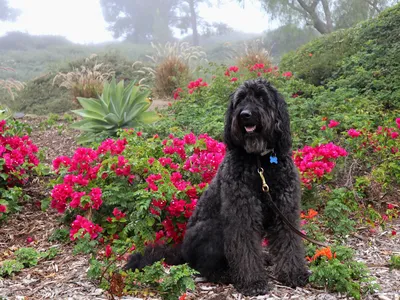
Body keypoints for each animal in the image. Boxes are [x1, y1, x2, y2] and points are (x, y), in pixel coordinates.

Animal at [125, 77, 310, 296]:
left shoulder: (285, 209)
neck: (260, 164)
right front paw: (253, 282)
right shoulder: (241, 213)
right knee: (204, 267)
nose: (245, 115)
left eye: (261, 97)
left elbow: (289, 241)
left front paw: (293, 274)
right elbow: (245, 248)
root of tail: (183, 251)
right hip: (213, 228)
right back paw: (225, 274)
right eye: (240, 99)